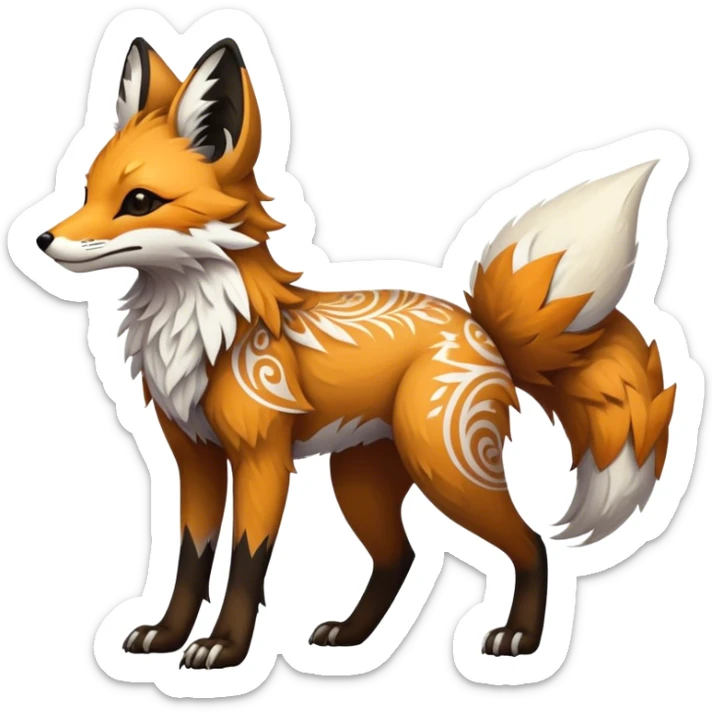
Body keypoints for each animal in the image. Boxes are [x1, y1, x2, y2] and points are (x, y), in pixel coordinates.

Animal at [27, 36, 677, 671]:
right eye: (87, 192)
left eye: (138, 200)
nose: (41, 240)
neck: (201, 331)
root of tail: (481, 327)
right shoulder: (194, 456)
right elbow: (190, 557)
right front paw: (166, 635)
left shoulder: (261, 456)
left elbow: (245, 560)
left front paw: (224, 649)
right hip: (362, 480)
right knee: (400, 557)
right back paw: (354, 635)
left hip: (446, 467)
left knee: (531, 545)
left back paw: (520, 637)